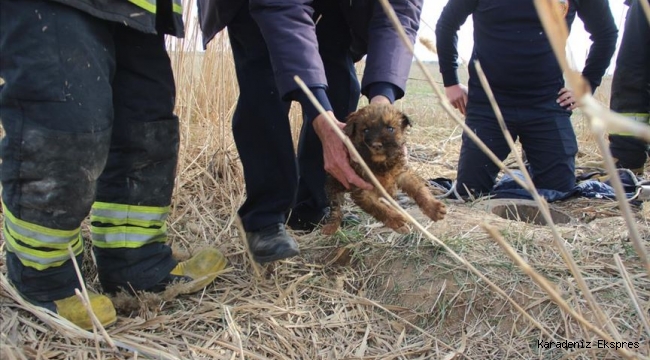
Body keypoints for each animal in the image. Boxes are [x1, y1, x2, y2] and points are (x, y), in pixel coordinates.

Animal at [320, 102, 446, 235]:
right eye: (365, 130)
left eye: (390, 128)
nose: (376, 145)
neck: (380, 164)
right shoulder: (363, 190)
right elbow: (379, 208)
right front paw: (397, 221)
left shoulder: (401, 173)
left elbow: (419, 189)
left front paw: (433, 208)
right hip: (334, 184)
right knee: (335, 208)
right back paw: (331, 226)